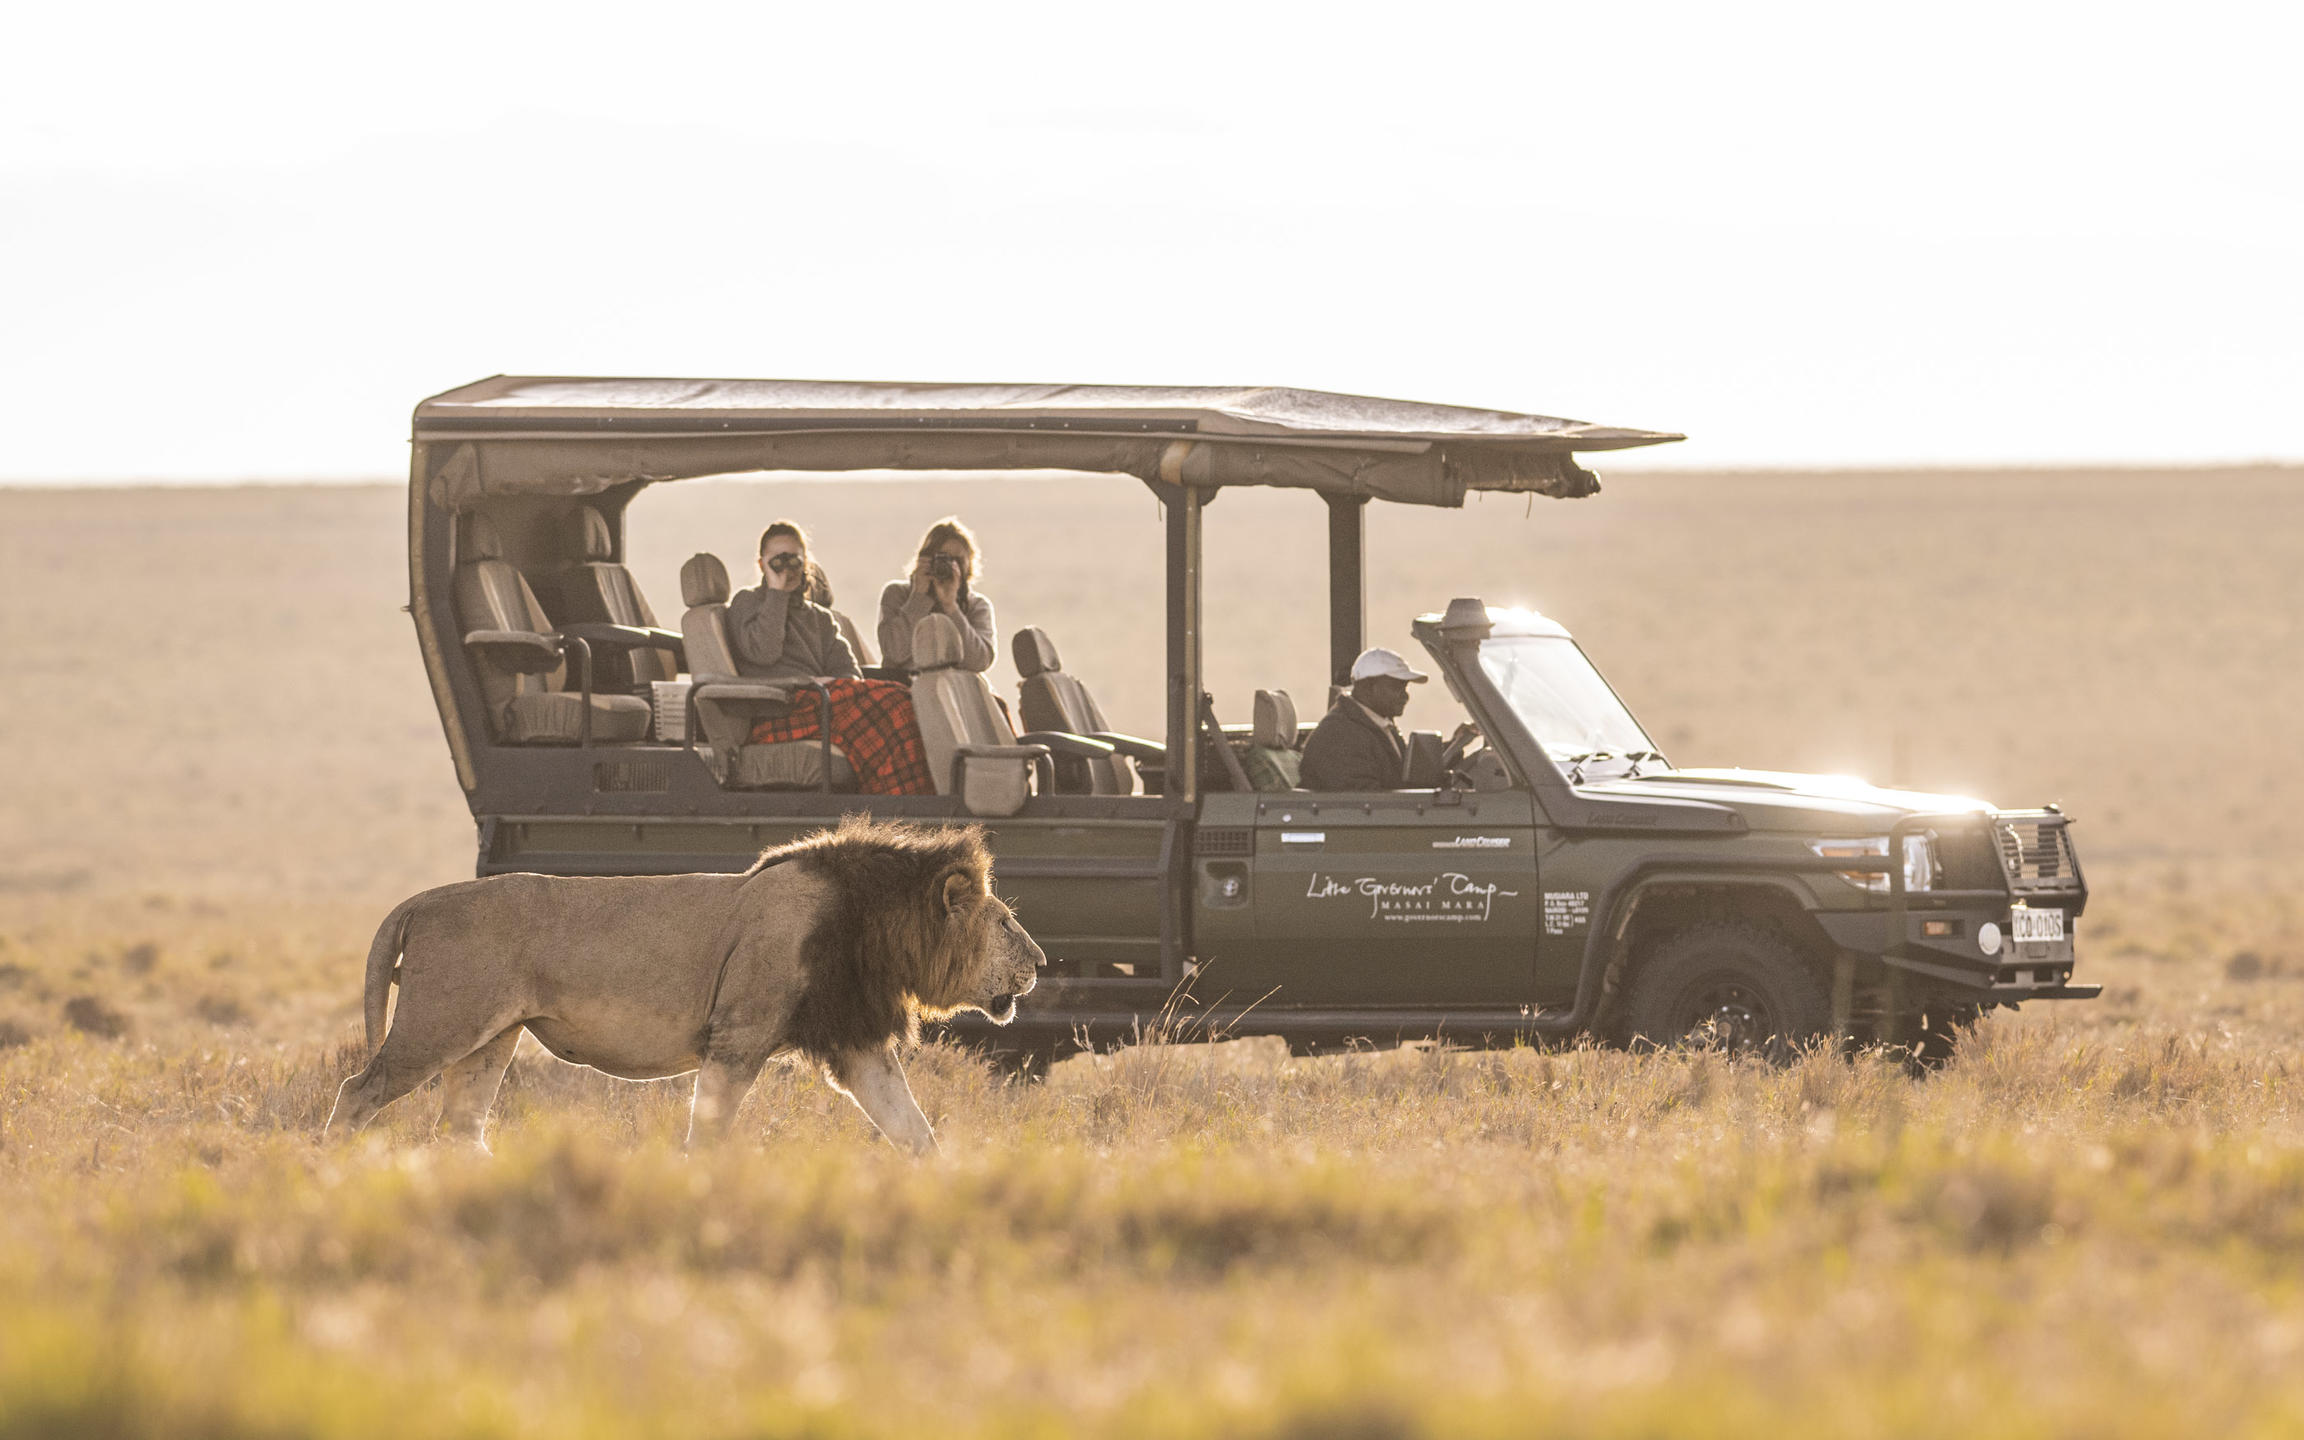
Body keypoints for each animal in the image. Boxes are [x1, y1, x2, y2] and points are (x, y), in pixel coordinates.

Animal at [320, 820, 1041, 1156]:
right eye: (1006, 922)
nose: (1039, 961)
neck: (875, 925)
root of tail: (423, 899)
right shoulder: (738, 1038)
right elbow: (710, 1129)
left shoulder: (856, 1043)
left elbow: (914, 1130)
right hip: (438, 1025)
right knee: (358, 1091)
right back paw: (328, 1169)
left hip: (488, 1041)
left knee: (459, 1127)